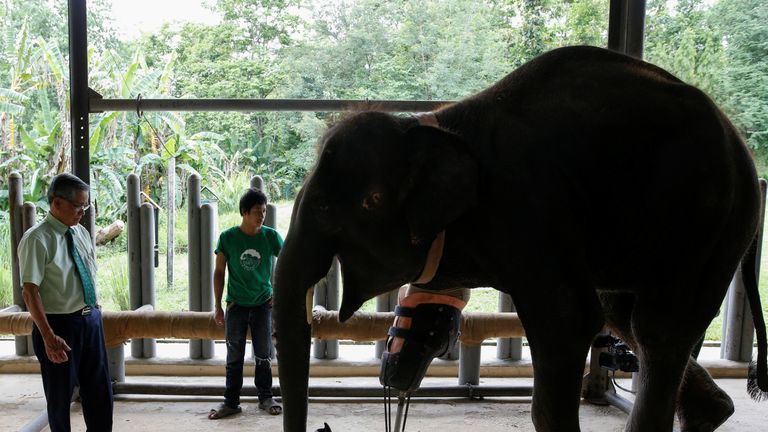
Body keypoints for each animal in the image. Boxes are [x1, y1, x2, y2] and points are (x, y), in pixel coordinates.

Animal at [272, 45, 764, 430]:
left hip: (710, 225)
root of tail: (741, 144)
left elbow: (568, 320)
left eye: (325, 208)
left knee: (658, 328)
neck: (435, 126)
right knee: (626, 315)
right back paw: (711, 414)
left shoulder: (529, 208)